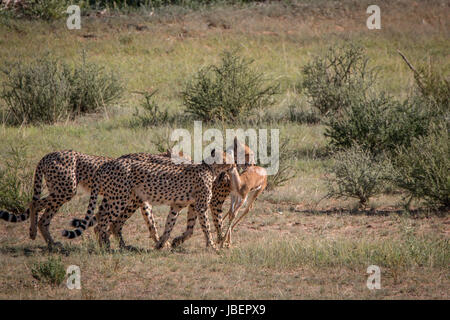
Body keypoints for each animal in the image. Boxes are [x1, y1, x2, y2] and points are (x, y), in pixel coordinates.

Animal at [64, 149, 239, 251]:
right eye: (229, 158)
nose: (235, 165)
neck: (210, 168)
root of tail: (109, 163)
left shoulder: (179, 205)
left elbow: (172, 226)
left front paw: (163, 243)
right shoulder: (202, 206)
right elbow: (207, 227)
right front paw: (213, 246)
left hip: (117, 198)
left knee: (105, 221)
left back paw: (112, 245)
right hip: (120, 199)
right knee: (104, 222)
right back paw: (106, 247)